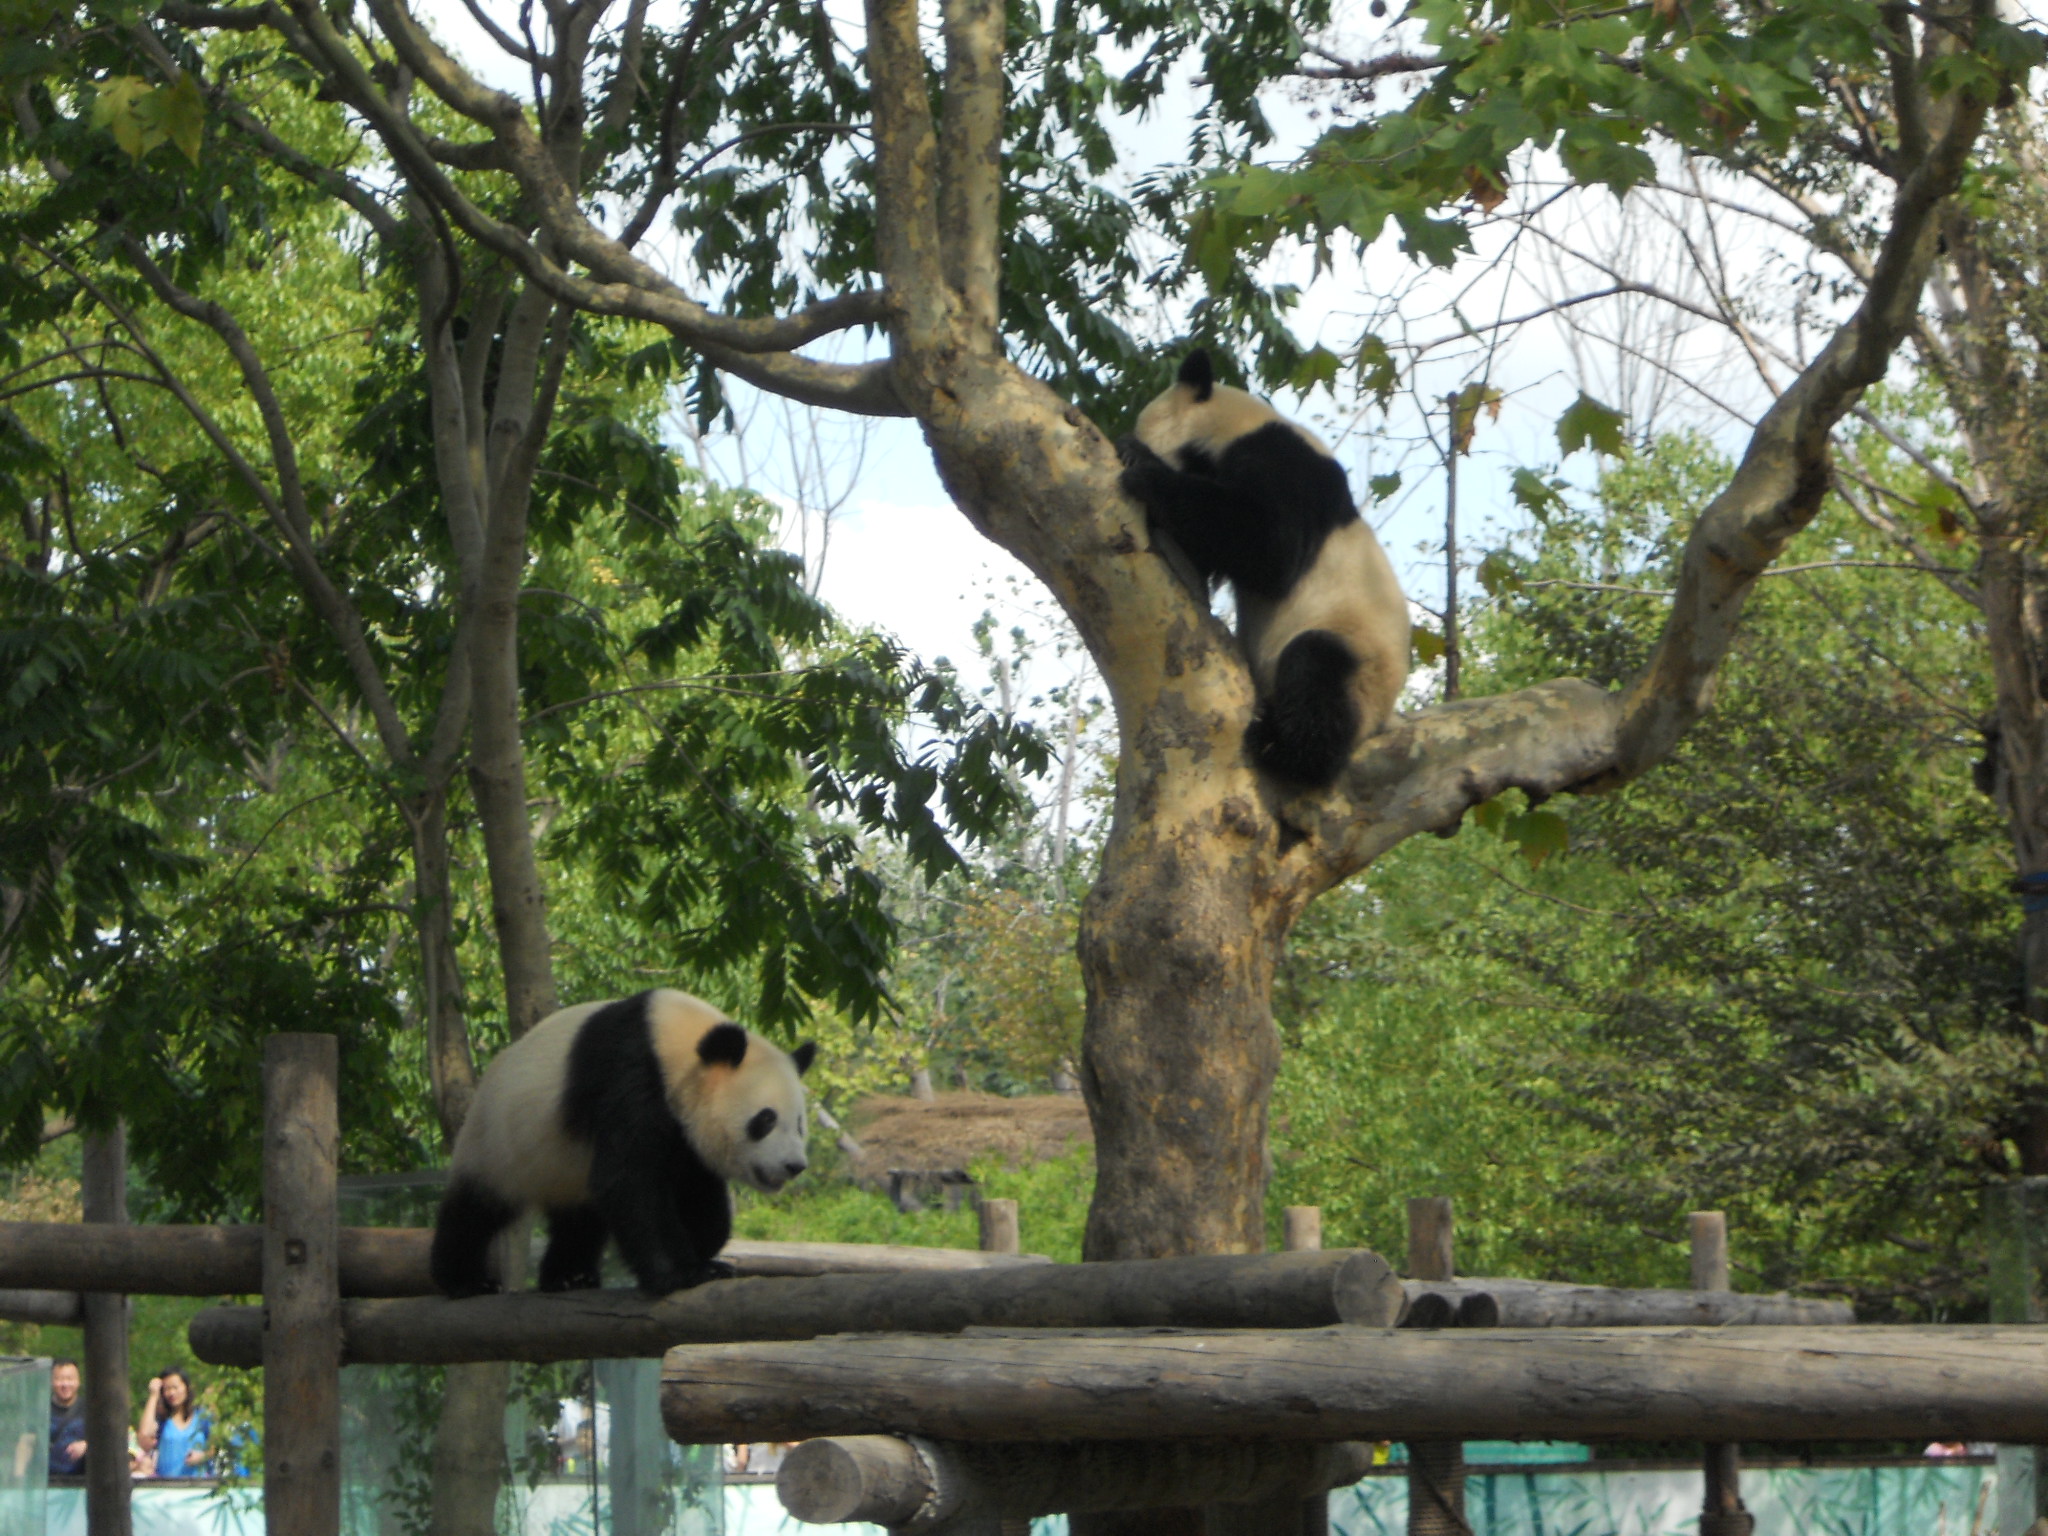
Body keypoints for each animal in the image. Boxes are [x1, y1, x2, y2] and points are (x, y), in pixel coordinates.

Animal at [432, 991, 815, 1302]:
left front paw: (704, 1245)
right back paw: (465, 1280)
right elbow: (630, 1181)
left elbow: (696, 1188)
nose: (794, 1165)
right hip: (497, 1141)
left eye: (799, 1123)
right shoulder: (629, 1075)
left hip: (563, 1164)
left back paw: (569, 1276)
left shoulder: (683, 1132)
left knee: (579, 1218)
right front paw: (684, 1273)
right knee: (476, 1208)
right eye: (765, 1120)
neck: (674, 1043)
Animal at [1122, 352, 1409, 794]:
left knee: (1315, 668)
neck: (1237, 425)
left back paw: (1285, 750)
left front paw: (1140, 463)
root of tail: (1383, 721)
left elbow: (1270, 547)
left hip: (1361, 657)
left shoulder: (1282, 464)